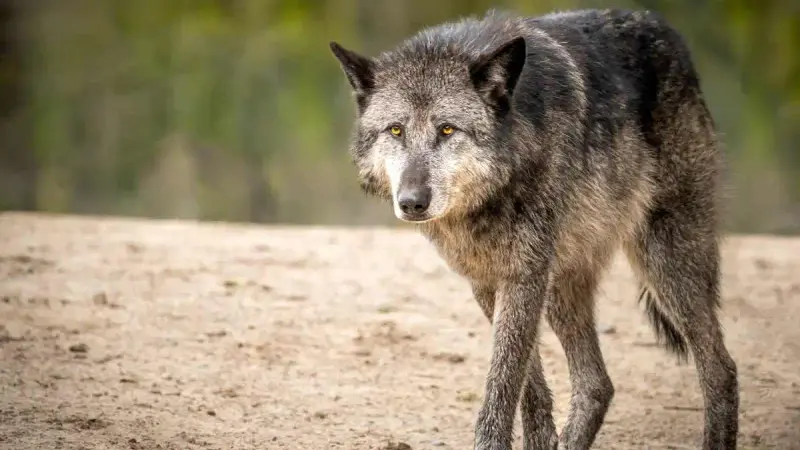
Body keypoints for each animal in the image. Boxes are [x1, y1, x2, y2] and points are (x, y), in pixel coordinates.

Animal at [330, 8, 739, 450]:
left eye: (447, 130)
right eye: (396, 130)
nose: (411, 202)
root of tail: (666, 30)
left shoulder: (525, 276)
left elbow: (503, 382)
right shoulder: (490, 280)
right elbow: (529, 386)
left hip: (664, 263)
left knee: (721, 370)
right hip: (562, 284)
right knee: (598, 384)